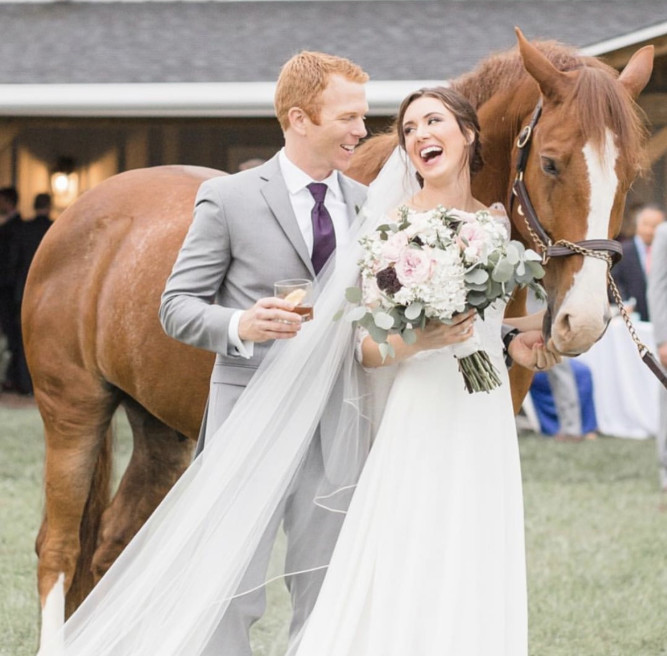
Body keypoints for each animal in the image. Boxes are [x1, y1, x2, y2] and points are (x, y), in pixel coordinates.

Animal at [30, 29, 652, 644]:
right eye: (550, 163)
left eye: (630, 175)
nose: (583, 320)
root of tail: (82, 211)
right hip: (73, 412)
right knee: (59, 550)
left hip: (163, 433)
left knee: (114, 546)